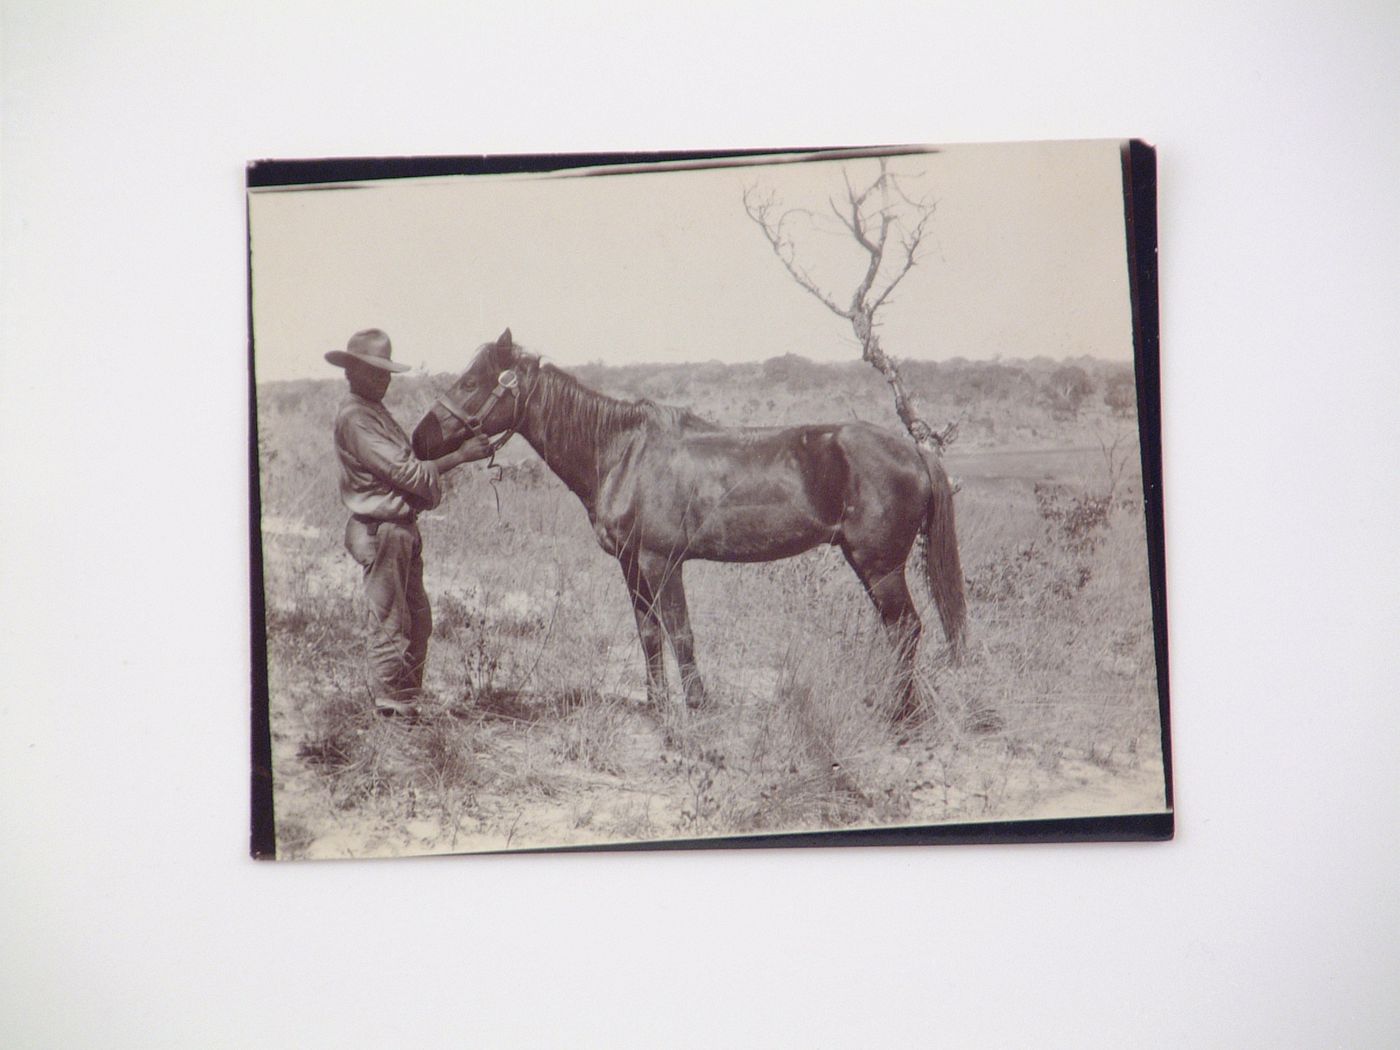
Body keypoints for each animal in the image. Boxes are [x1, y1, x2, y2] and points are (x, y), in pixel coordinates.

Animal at [408, 330, 968, 722]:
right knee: (899, 632)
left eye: (471, 382)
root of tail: (915, 452)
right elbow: (649, 634)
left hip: (880, 566)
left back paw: (899, 715)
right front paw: (656, 706)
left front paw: (697, 705)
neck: (624, 453)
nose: (419, 439)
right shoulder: (632, 565)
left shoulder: (663, 561)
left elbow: (680, 632)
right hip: (868, 564)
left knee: (906, 630)